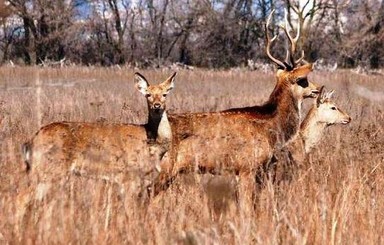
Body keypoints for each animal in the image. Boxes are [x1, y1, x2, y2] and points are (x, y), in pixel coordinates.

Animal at [21, 72, 176, 186]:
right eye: (148, 94)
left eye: (165, 94)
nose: (157, 106)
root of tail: (32, 141)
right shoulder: (129, 176)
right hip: (48, 168)